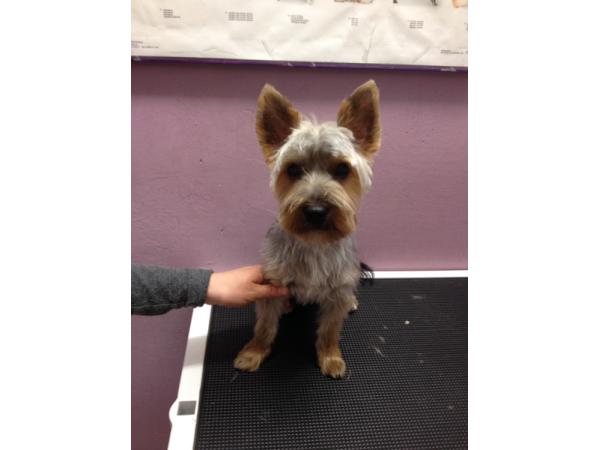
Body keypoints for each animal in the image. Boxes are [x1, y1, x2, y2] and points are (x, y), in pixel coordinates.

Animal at [234, 80, 381, 378]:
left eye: (342, 169)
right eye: (292, 170)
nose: (315, 211)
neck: (314, 242)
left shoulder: (337, 293)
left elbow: (330, 331)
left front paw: (331, 358)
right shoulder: (272, 285)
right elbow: (264, 326)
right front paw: (253, 352)